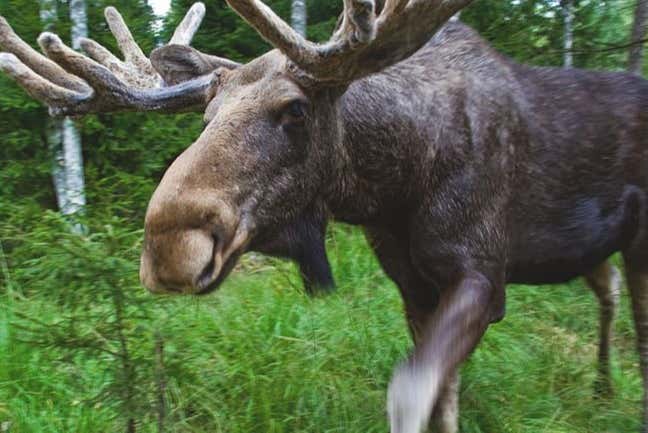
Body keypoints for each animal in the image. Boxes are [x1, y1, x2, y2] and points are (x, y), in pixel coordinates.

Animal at [1, 0, 648, 432]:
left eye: (295, 110)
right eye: (206, 114)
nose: (168, 245)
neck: (396, 182)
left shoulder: (482, 273)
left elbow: (410, 390)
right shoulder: (412, 284)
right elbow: (441, 397)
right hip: (590, 250)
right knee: (608, 290)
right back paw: (601, 387)